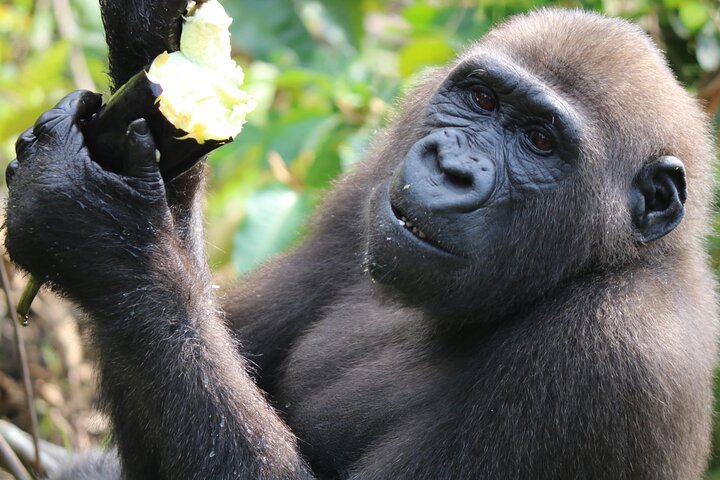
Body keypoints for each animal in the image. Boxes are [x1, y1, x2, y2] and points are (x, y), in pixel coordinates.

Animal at [4, 5, 718, 480]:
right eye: (480, 99)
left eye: (541, 141)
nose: (450, 167)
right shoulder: (376, 176)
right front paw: (151, 46)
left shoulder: (613, 353)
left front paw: (101, 235)